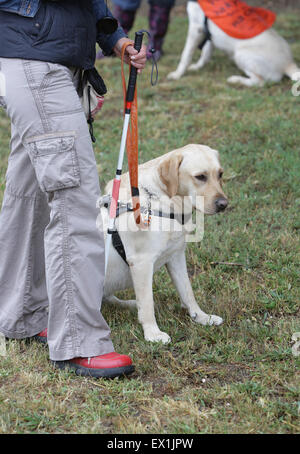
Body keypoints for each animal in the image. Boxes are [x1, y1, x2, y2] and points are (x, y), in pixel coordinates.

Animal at [98, 144, 227, 342]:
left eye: (220, 174)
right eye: (200, 176)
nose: (224, 204)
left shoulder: (176, 256)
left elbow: (187, 291)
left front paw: (201, 317)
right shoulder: (141, 263)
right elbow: (147, 303)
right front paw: (152, 333)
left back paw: (128, 304)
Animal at [168, 0, 298, 86]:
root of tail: (288, 63)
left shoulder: (196, 28)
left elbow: (186, 55)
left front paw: (177, 74)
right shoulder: (209, 33)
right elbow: (206, 53)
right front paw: (197, 67)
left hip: (240, 55)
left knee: (260, 82)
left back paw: (236, 80)